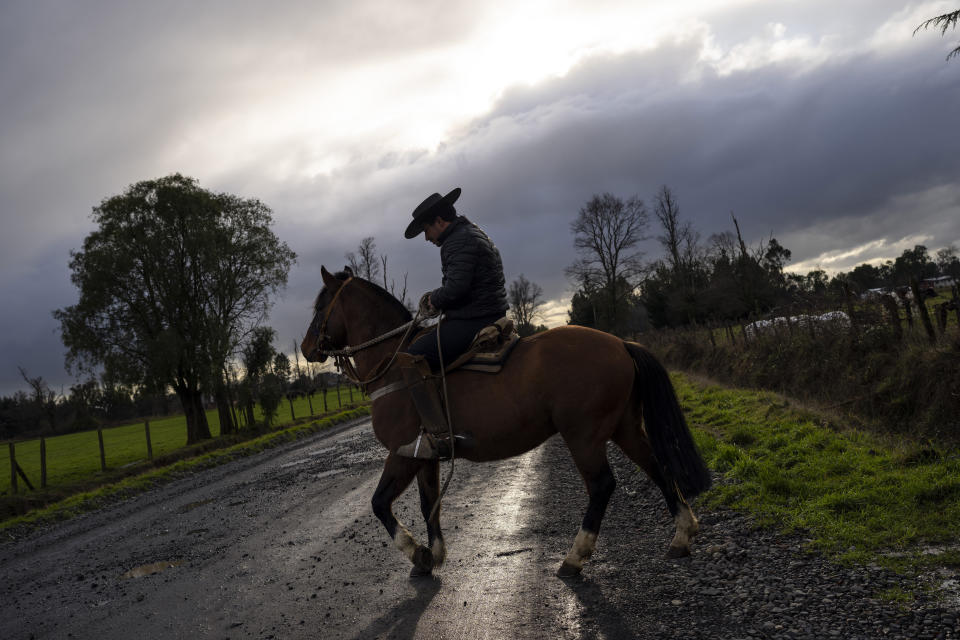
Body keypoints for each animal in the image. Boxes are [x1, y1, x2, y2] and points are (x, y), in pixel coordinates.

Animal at [302, 268, 712, 576]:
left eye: (320, 305)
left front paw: (417, 552)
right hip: (624, 427)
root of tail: (620, 344)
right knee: (656, 467)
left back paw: (574, 557)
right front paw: (434, 554)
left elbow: (379, 504)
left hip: (584, 436)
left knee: (601, 486)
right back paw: (681, 536)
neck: (392, 364)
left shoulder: (401, 454)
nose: (306, 349)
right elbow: (428, 502)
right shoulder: (424, 455)